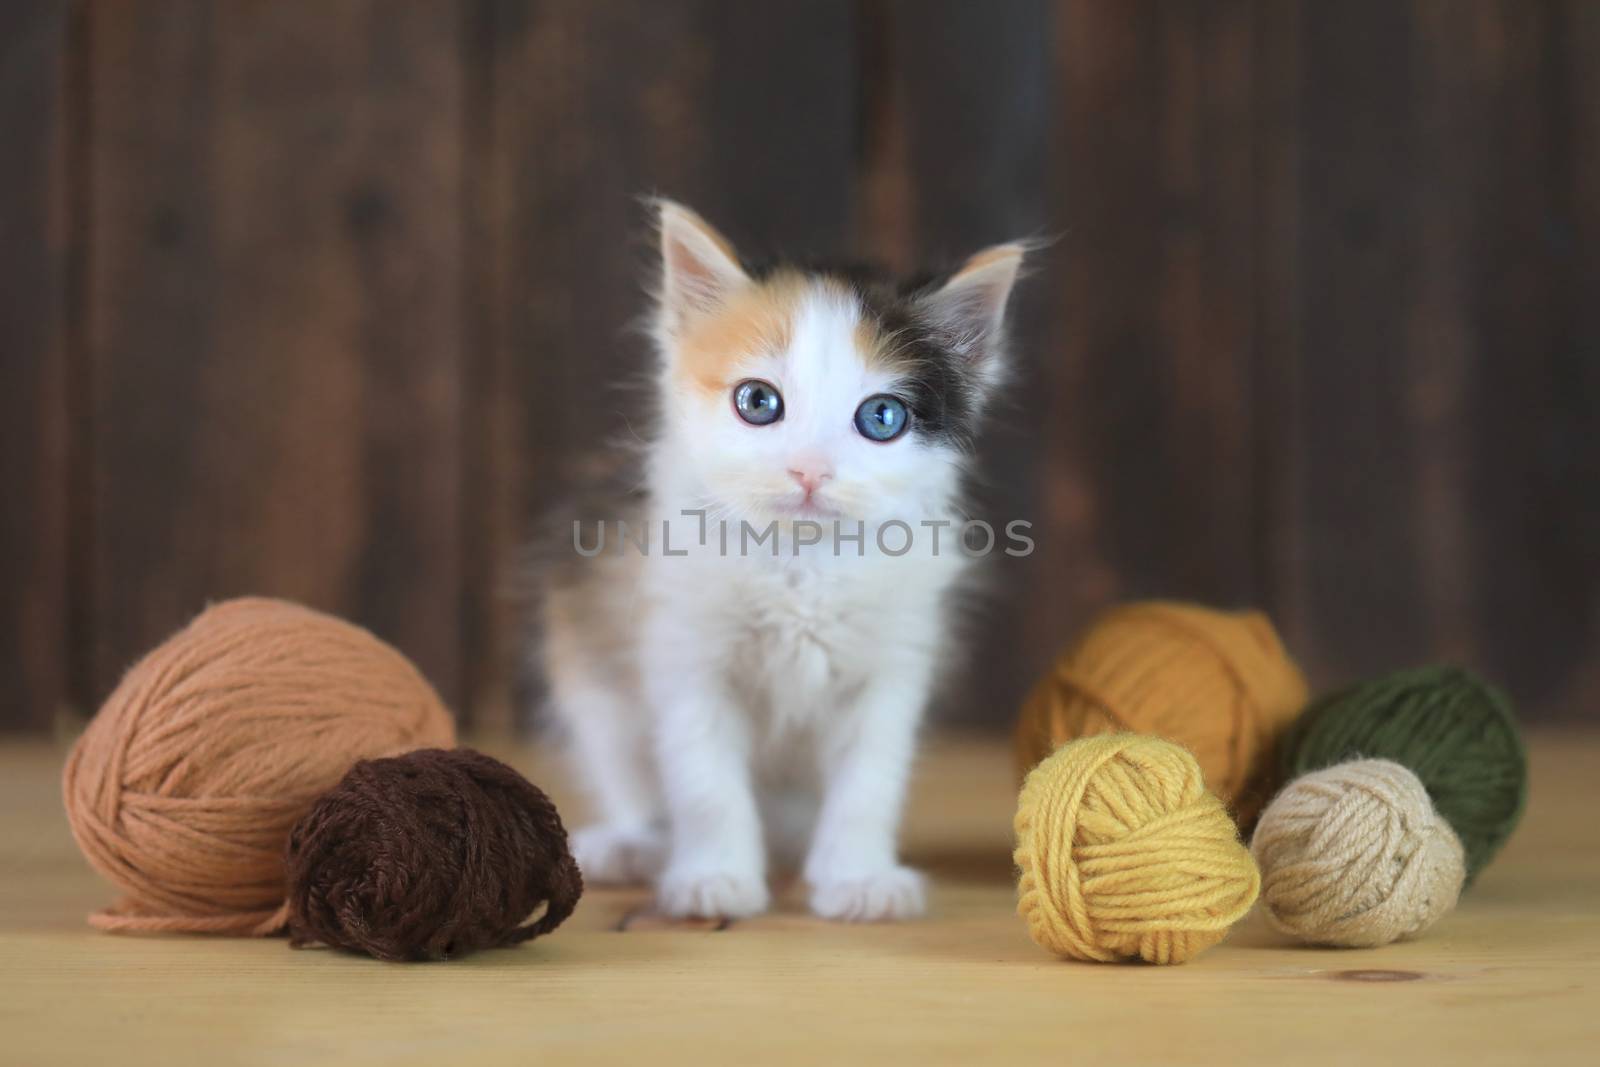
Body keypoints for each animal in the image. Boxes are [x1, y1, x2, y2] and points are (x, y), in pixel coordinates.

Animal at [537, 204, 1024, 921]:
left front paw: (858, 879)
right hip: (592, 680)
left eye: (882, 417)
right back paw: (633, 846)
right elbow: (705, 780)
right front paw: (714, 878)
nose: (810, 470)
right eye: (758, 402)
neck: (802, 564)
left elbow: (869, 782)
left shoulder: (891, 663)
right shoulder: (685, 650)